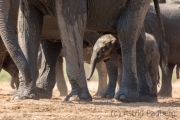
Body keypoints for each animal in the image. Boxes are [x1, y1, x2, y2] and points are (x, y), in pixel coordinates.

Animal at [0, 0, 167, 102]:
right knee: (137, 36)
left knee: (126, 31)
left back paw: (125, 97)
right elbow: (27, 25)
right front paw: (23, 96)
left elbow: (70, 22)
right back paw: (145, 97)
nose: (24, 80)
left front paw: (76, 99)